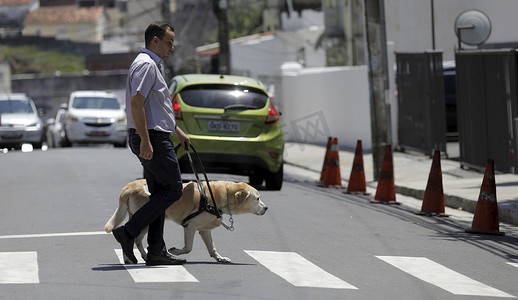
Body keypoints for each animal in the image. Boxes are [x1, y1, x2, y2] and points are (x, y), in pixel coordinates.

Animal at [104, 179, 270, 264]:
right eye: (257, 198)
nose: (267, 208)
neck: (226, 195)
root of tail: (128, 187)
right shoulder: (190, 226)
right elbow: (188, 248)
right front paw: (174, 251)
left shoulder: (204, 230)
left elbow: (212, 248)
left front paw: (220, 258)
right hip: (149, 219)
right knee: (133, 236)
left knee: (134, 237)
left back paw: (136, 257)